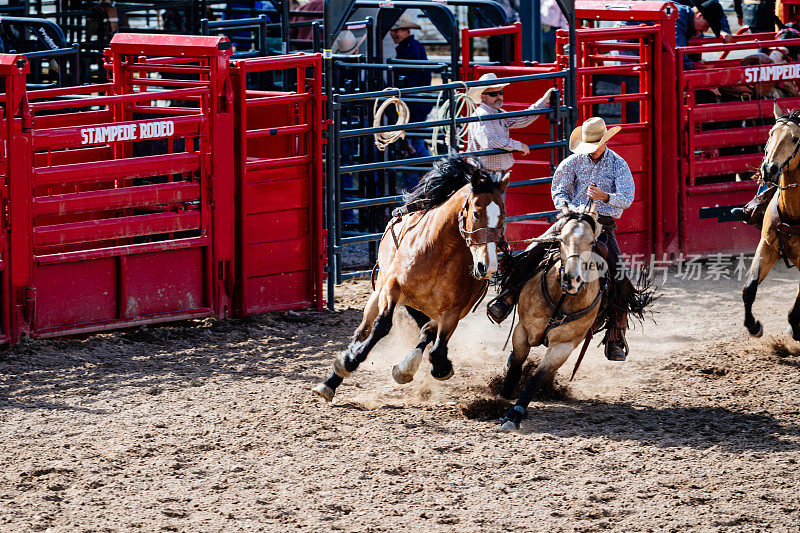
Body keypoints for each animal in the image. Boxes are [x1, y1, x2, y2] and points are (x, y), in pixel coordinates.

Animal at [310, 156, 510, 402]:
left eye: (503, 216)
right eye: (476, 214)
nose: (487, 266)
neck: (441, 251)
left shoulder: (454, 310)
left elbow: (437, 349)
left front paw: (434, 367)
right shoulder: (392, 288)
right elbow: (381, 326)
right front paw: (349, 361)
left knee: (427, 332)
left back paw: (405, 368)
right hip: (378, 295)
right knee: (364, 330)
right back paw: (332, 380)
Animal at [740, 103, 800, 336]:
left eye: (795, 138)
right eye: (771, 134)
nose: (769, 169)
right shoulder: (767, 246)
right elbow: (749, 289)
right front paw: (754, 326)